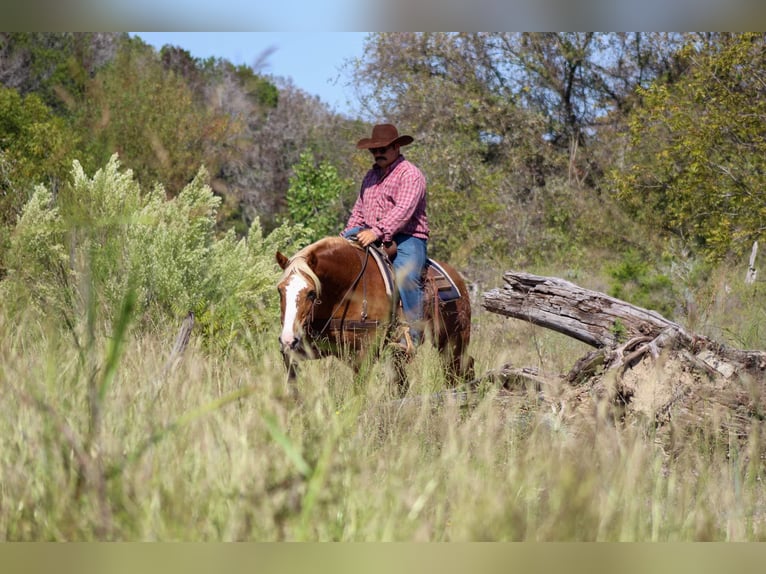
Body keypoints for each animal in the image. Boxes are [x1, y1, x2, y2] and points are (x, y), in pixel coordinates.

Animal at [272, 238, 472, 388]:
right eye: (280, 290)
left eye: (311, 293)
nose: (288, 339)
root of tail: (457, 279)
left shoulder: (365, 353)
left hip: (454, 341)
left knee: (459, 369)